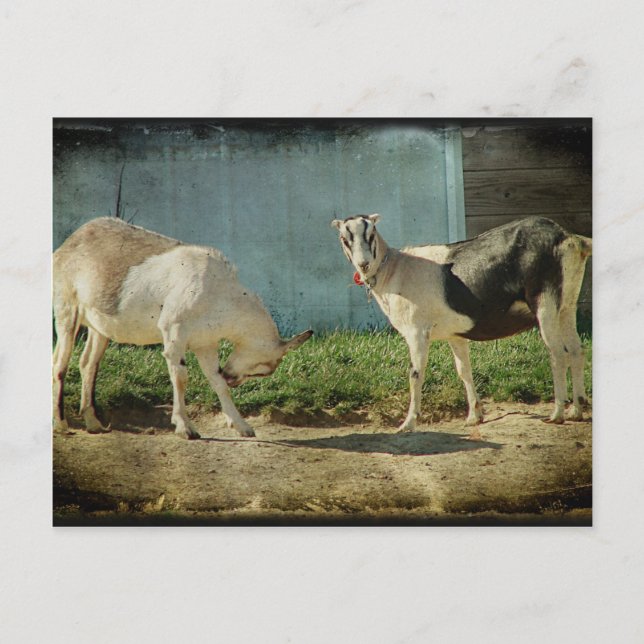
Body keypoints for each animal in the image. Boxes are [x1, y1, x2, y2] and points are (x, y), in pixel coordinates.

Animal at [53, 217, 313, 439]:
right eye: (263, 369)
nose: (233, 378)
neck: (217, 291)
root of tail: (68, 245)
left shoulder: (205, 343)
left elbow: (215, 380)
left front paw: (242, 427)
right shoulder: (174, 332)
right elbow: (180, 377)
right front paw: (186, 428)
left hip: (99, 326)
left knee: (88, 363)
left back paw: (93, 424)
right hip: (67, 308)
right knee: (59, 363)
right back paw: (62, 425)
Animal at [332, 214, 592, 437]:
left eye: (371, 235)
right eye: (344, 239)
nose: (364, 264)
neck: (394, 270)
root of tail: (569, 237)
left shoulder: (417, 331)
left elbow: (415, 374)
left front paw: (408, 423)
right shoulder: (455, 334)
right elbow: (463, 370)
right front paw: (474, 416)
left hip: (544, 302)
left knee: (558, 353)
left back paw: (557, 414)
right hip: (566, 305)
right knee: (576, 350)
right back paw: (576, 410)